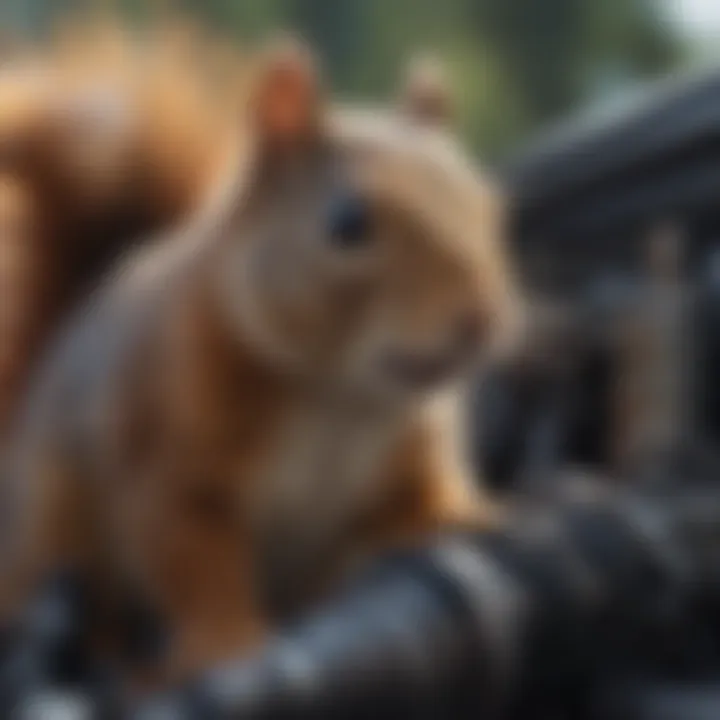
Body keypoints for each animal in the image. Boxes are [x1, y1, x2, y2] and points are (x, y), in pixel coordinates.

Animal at [0, 38, 520, 680]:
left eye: (489, 206)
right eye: (348, 223)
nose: (482, 317)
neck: (337, 396)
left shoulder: (410, 457)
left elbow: (422, 506)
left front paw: (479, 515)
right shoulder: (171, 456)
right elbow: (193, 558)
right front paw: (226, 640)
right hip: (54, 535)